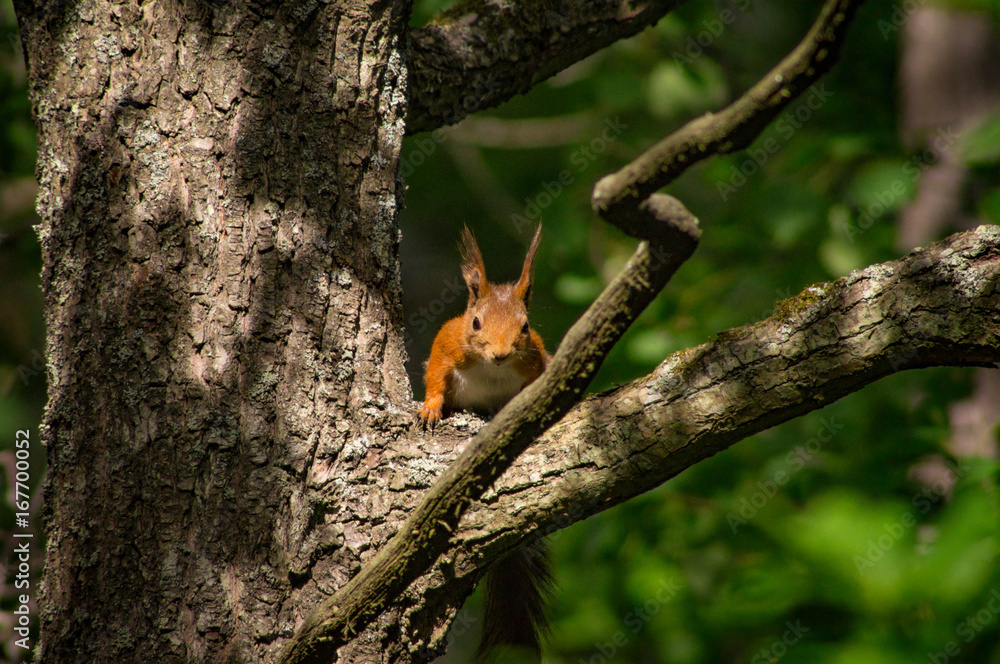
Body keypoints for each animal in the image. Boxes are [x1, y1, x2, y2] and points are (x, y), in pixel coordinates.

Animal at [418, 225, 554, 663]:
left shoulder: (538, 363)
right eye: (475, 322)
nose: (500, 354)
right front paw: (429, 409)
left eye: (525, 327)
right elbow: (434, 379)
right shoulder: (445, 347)